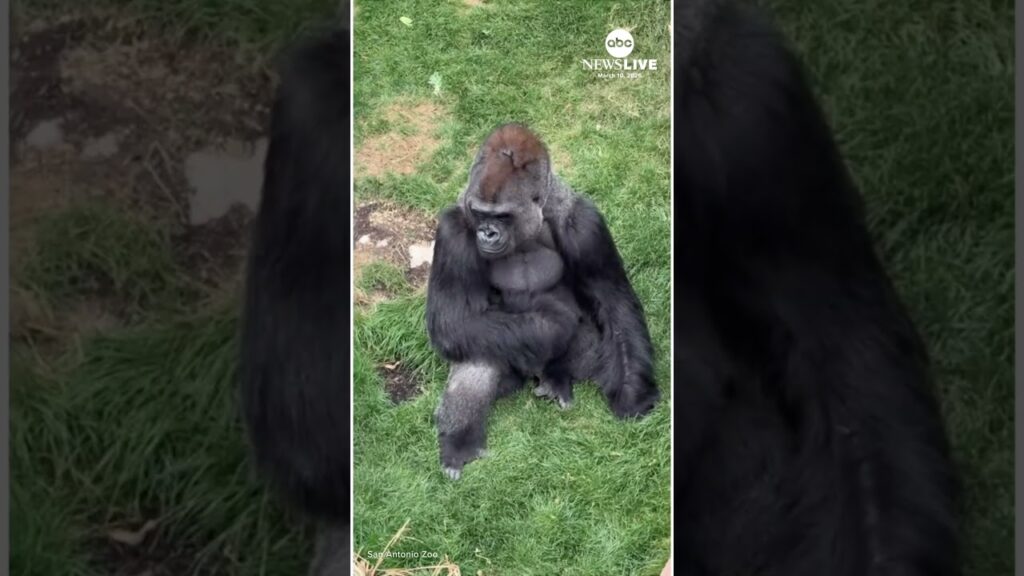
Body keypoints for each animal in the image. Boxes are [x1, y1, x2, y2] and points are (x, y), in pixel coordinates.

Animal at [426, 123, 658, 480]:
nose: (486, 233)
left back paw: (556, 378)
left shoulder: (584, 224)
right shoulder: (454, 229)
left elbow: (613, 301)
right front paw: (554, 322)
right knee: (478, 351)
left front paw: (633, 393)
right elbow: (454, 321)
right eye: (479, 214)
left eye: (502, 216)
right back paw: (460, 442)